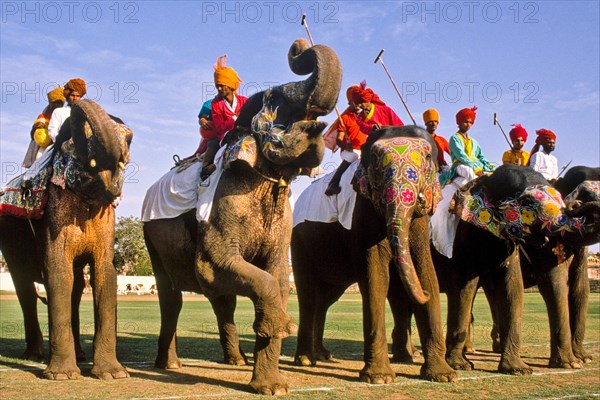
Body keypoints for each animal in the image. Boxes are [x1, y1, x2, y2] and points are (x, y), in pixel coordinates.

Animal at [0, 98, 132, 380]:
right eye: (73, 138)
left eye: (129, 139)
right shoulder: (53, 216)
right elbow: (57, 272)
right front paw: (61, 376)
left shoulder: (107, 220)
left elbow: (105, 273)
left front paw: (113, 375)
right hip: (9, 237)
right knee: (24, 286)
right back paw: (34, 355)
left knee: (76, 287)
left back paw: (79, 355)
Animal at [142, 39, 342, 396]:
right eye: (276, 98)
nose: (299, 47)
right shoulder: (221, 211)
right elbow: (212, 268)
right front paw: (283, 328)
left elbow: (278, 278)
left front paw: (273, 387)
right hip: (152, 235)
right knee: (171, 297)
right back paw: (171, 365)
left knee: (222, 301)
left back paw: (236, 361)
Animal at [292, 126, 458, 384]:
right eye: (376, 163)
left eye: (428, 158)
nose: (427, 295)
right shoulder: (363, 210)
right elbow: (375, 276)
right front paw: (379, 378)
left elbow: (425, 270)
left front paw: (444, 375)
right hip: (299, 240)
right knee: (309, 295)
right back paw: (306, 360)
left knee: (326, 298)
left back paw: (322, 355)